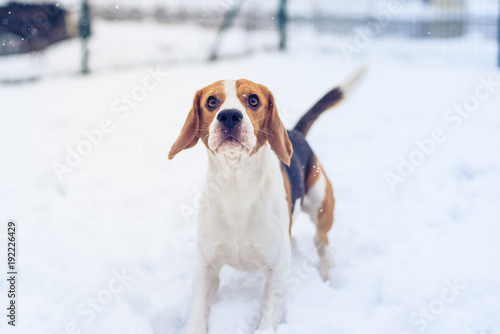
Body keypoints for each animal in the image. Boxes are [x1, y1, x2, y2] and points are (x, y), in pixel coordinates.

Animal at [168, 68, 364, 334]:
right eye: (211, 101)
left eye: (253, 100)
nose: (229, 116)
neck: (237, 187)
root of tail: (295, 132)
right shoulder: (206, 269)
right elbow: (197, 317)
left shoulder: (277, 273)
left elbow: (266, 321)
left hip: (322, 206)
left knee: (321, 243)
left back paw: (326, 274)